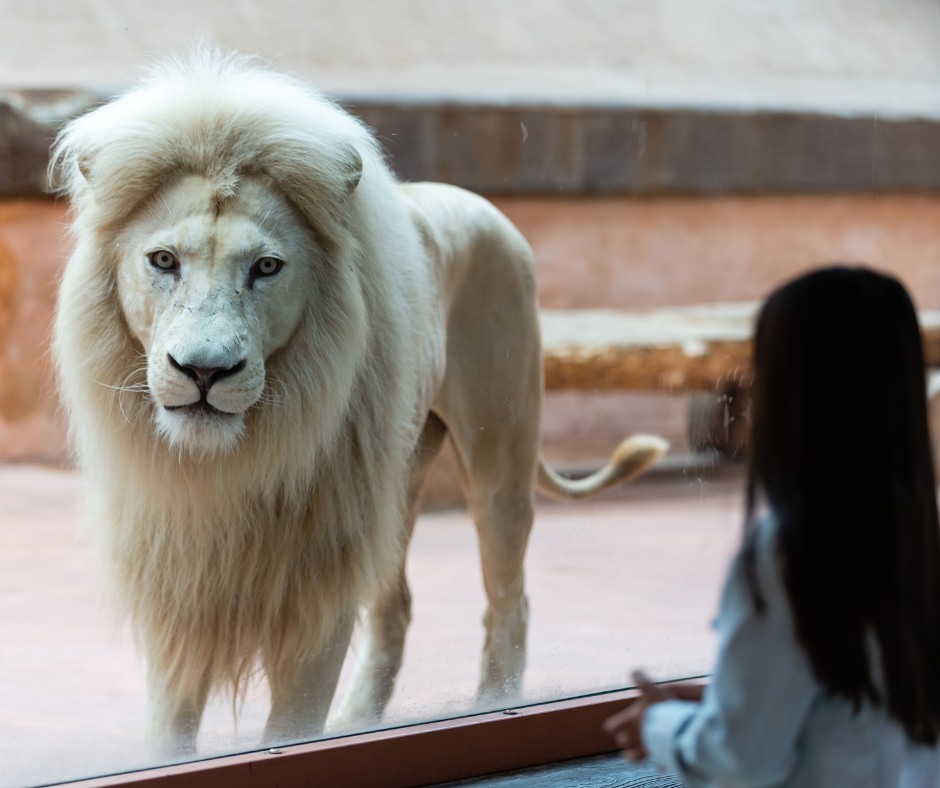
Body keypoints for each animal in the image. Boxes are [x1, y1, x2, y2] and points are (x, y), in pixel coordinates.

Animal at [53, 52, 668, 756]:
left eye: (266, 267)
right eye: (162, 260)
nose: (205, 371)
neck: (232, 465)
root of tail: (481, 206)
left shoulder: (316, 595)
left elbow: (290, 731)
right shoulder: (177, 597)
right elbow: (168, 738)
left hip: (500, 461)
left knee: (510, 597)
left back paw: (494, 706)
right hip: (395, 485)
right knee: (397, 605)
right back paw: (359, 722)